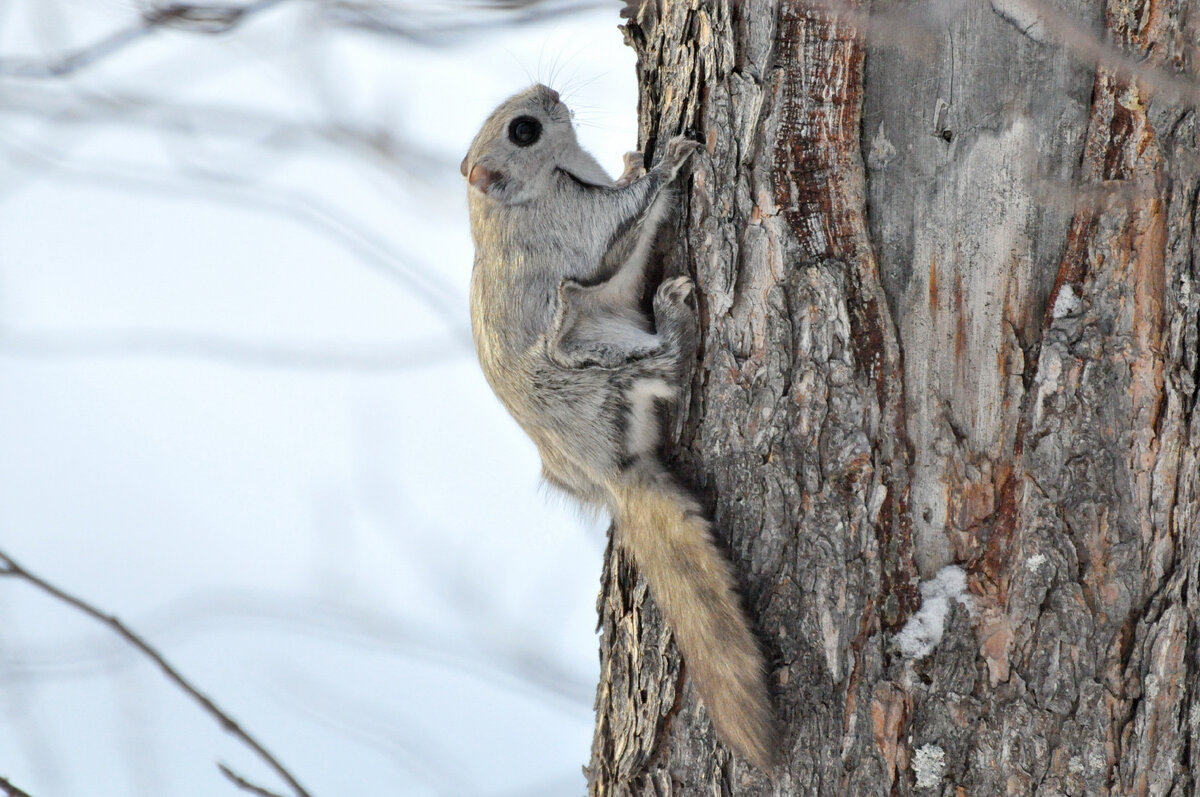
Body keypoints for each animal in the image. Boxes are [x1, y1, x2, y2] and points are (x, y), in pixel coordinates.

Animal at [458, 84, 777, 768]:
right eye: (524, 129)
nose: (550, 92)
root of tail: (609, 474)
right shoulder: (574, 229)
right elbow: (623, 226)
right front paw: (669, 161)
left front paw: (635, 162)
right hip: (595, 362)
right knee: (665, 364)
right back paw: (673, 315)